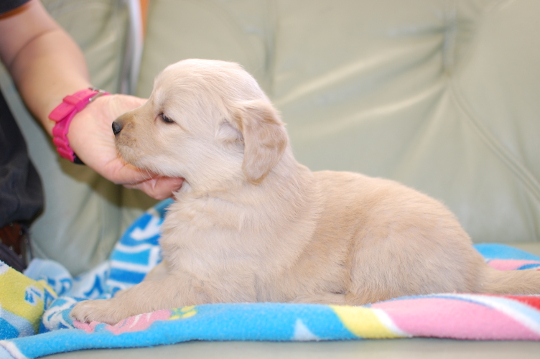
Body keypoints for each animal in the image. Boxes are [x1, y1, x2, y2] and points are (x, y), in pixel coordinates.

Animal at [71, 59, 540, 326]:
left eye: (166, 117)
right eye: (149, 99)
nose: (113, 125)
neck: (225, 186)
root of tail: (477, 268)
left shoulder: (209, 284)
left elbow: (147, 294)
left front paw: (98, 309)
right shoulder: (180, 263)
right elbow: (151, 277)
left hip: (383, 240)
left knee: (372, 299)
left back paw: (314, 299)